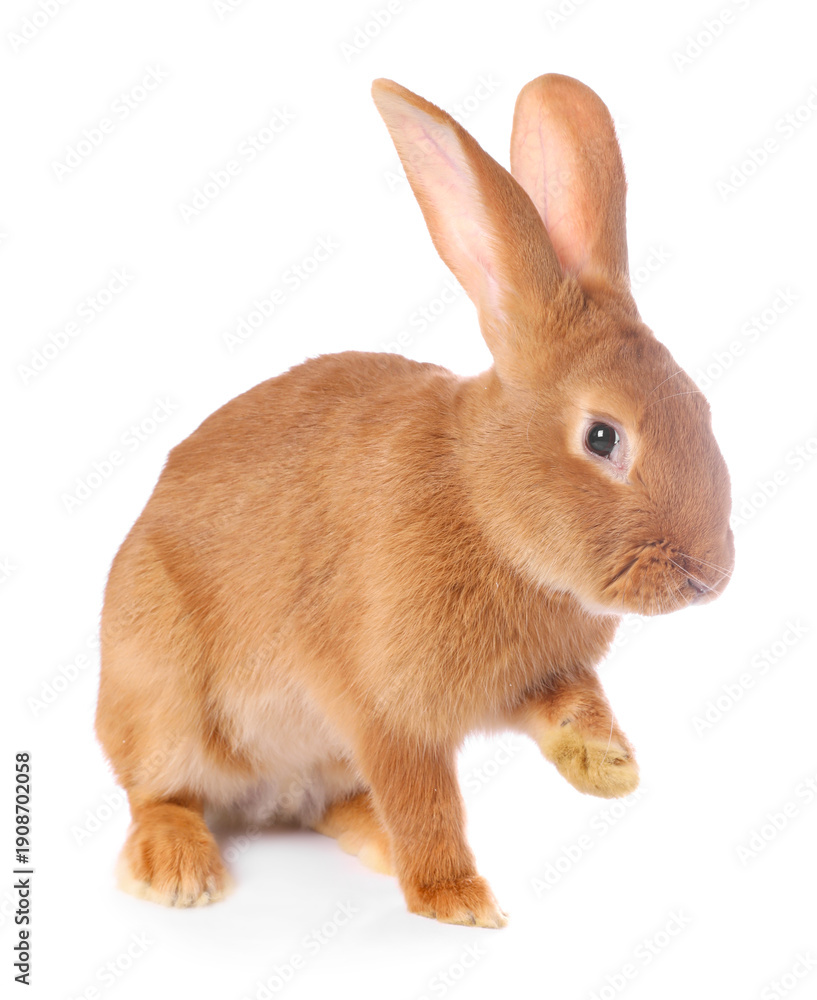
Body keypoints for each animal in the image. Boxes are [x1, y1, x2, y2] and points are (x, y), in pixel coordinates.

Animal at [95, 73, 734, 928]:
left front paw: (606, 767)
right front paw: (456, 901)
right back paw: (179, 872)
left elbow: (574, 705)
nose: (708, 575)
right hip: (160, 687)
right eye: (602, 438)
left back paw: (371, 843)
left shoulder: (538, 679)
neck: (481, 500)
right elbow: (424, 801)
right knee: (159, 793)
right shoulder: (385, 711)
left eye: (699, 407)